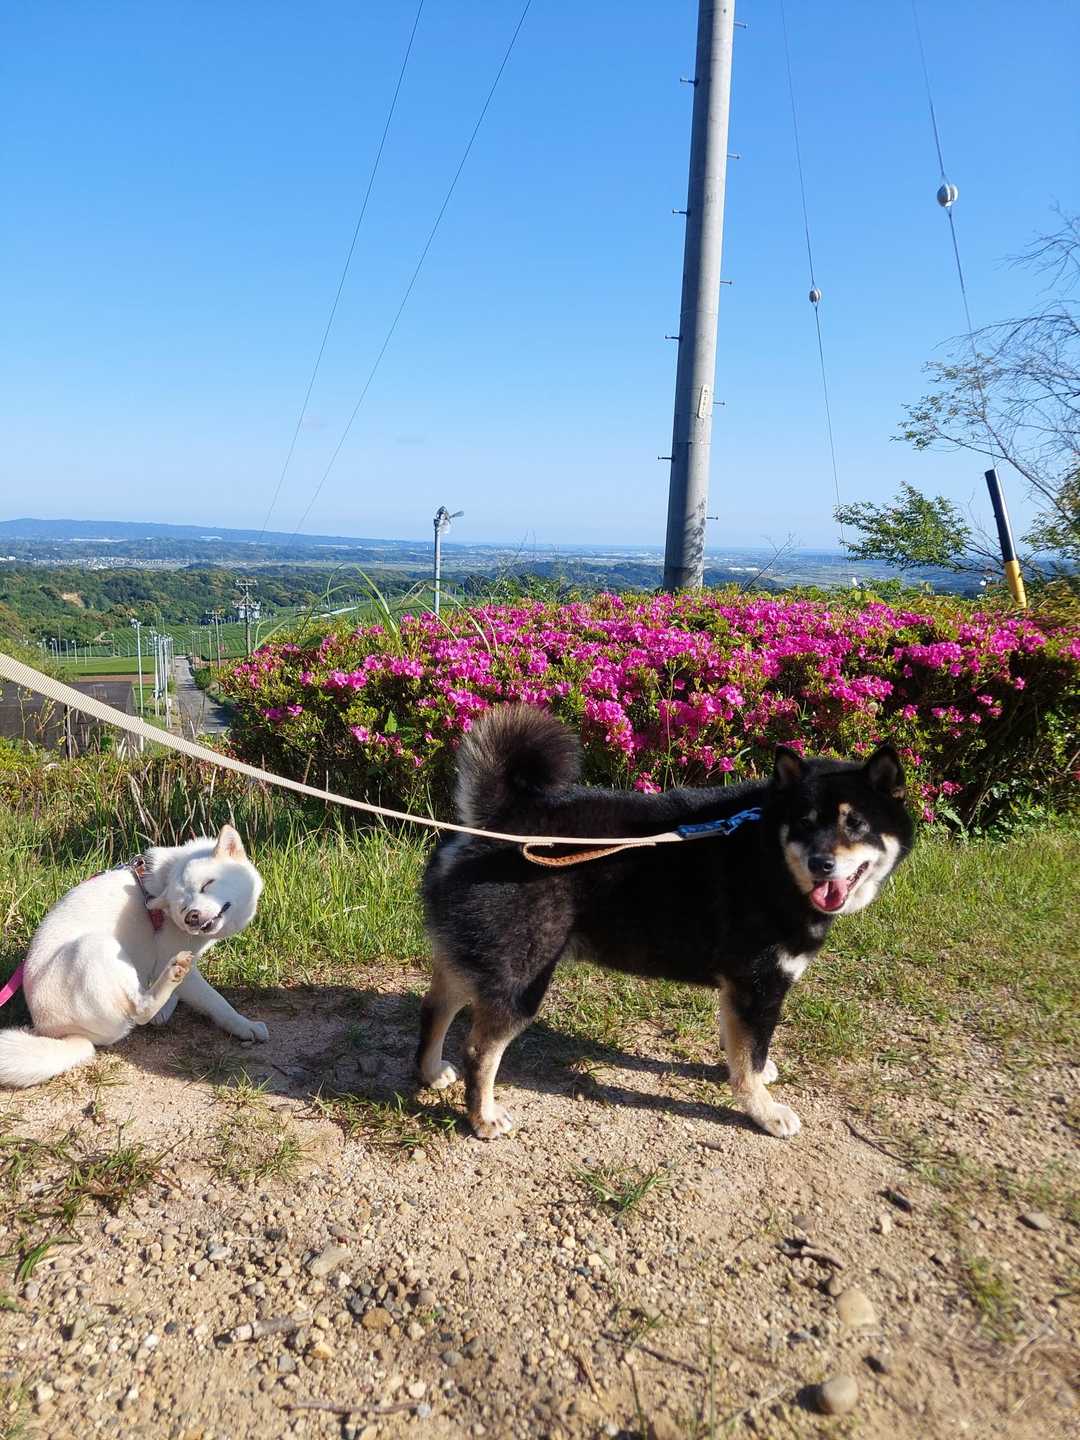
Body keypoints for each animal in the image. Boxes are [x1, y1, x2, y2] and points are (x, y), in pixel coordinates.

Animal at [0, 825, 266, 1088]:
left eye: (207, 885)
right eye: (182, 908)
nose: (191, 916)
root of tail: (60, 1032)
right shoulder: (178, 964)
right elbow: (217, 1003)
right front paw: (244, 1025)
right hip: (97, 946)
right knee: (141, 1010)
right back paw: (170, 978)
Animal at [418, 705, 913, 1140]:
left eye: (856, 823)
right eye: (805, 823)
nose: (821, 863)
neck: (770, 854)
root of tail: (497, 820)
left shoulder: (739, 988)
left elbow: (740, 1048)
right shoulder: (759, 985)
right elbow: (750, 1059)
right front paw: (765, 1112)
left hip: (479, 958)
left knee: (436, 1005)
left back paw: (429, 1071)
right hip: (520, 977)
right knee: (480, 1050)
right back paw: (483, 1117)